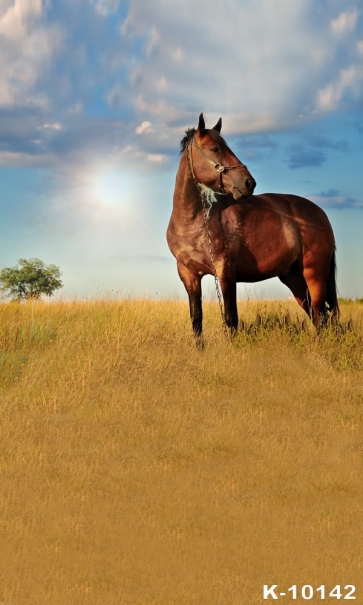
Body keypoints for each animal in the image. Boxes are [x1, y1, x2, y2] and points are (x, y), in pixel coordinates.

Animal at [166, 112, 340, 340]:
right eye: (215, 149)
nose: (249, 183)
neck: (193, 222)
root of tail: (321, 214)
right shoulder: (188, 274)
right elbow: (196, 320)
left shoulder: (225, 271)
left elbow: (231, 318)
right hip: (294, 278)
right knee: (315, 314)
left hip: (314, 275)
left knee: (320, 314)